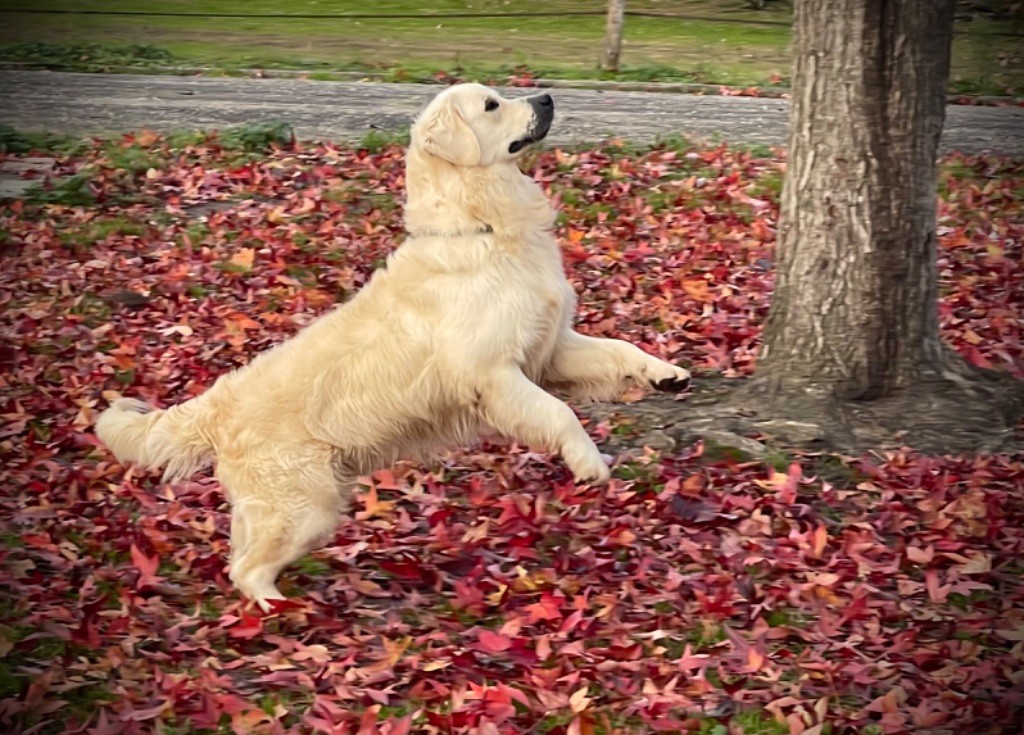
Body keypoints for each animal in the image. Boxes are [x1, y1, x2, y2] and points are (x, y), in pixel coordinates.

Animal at [96, 83, 692, 610]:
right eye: (492, 105)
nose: (546, 98)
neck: (483, 226)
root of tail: (216, 406)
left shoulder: (550, 348)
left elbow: (617, 348)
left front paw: (665, 372)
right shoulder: (494, 373)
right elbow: (560, 413)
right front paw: (589, 463)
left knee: (238, 553)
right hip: (305, 505)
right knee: (247, 569)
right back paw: (280, 611)